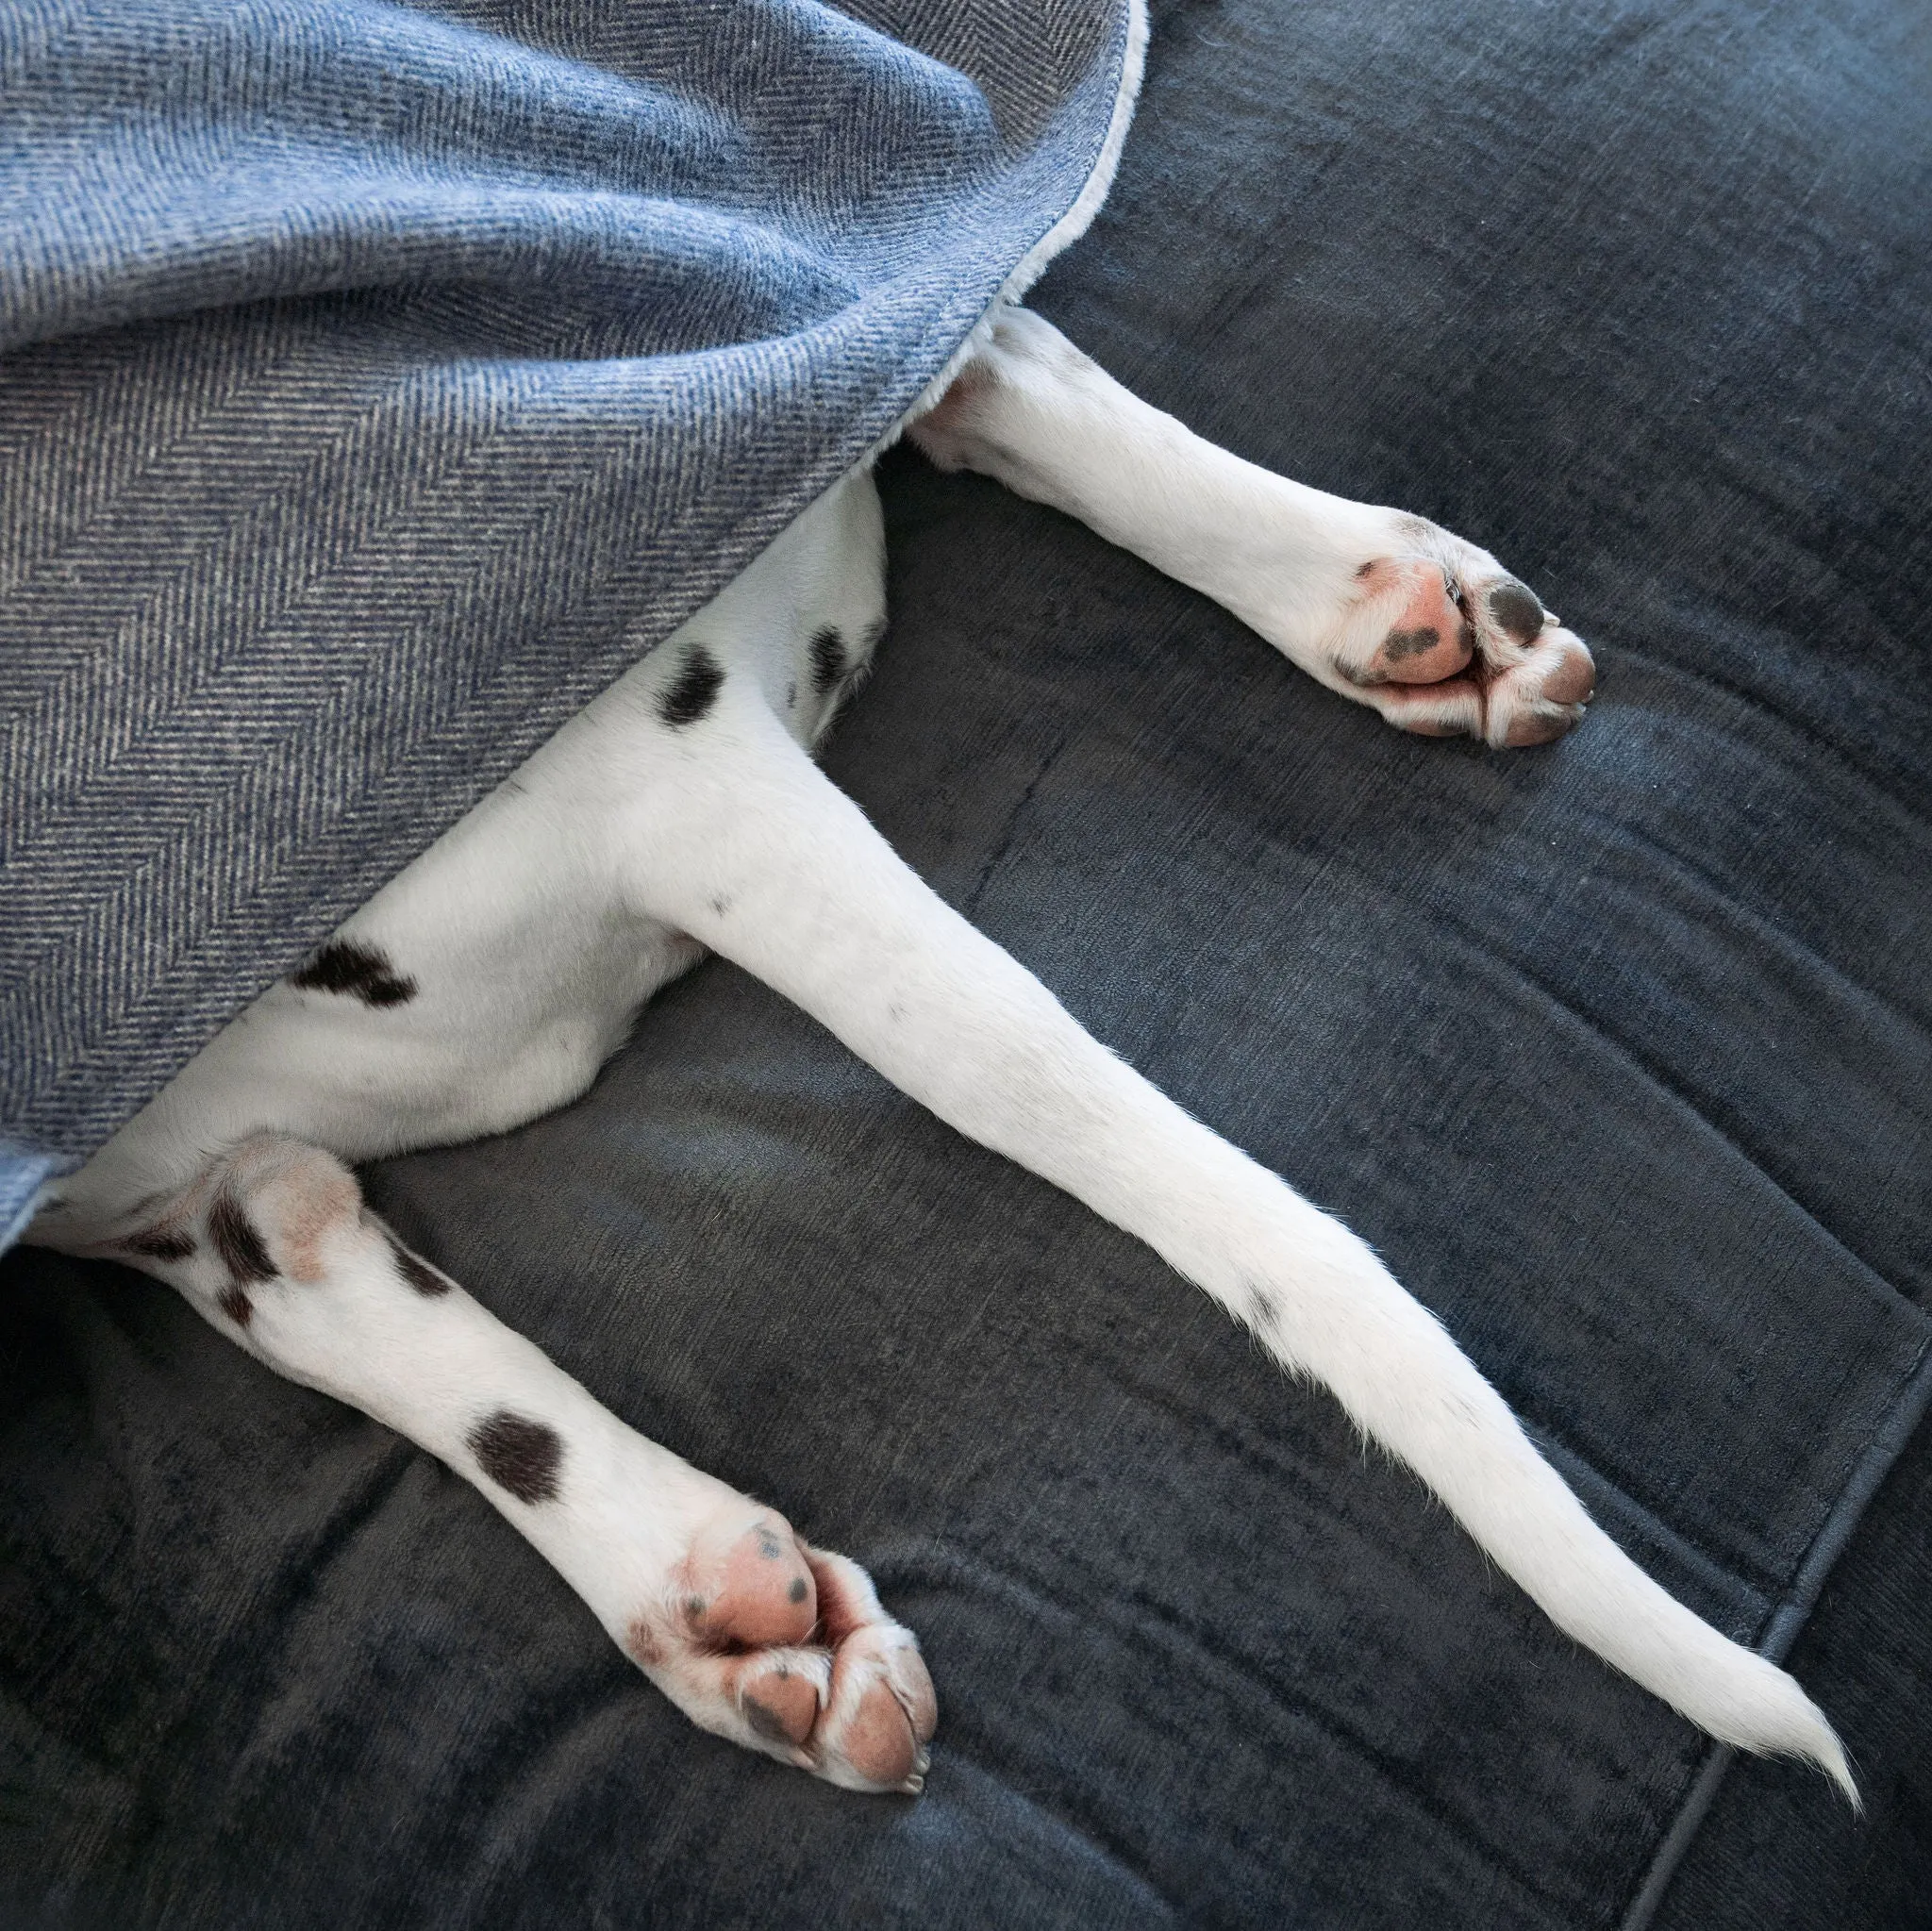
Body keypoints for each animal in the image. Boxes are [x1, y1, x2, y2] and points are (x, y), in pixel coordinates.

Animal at [23, 297, 1846, 1791]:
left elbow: (1194, 1183)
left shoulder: (669, 756)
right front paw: (694, 1595)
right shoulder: (128, 1178)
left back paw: (1374, 582)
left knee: (985, 355)